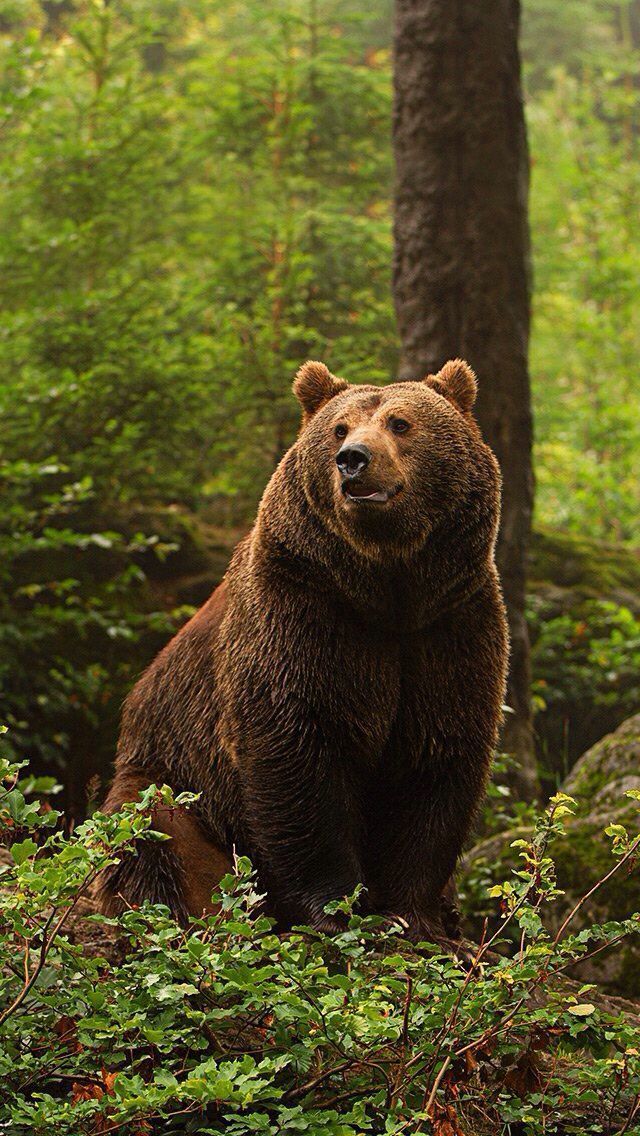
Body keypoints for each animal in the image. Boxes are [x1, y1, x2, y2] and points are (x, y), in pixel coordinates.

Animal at [95, 358, 508, 944]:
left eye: (400, 422)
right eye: (338, 428)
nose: (353, 459)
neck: (388, 588)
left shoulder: (449, 625)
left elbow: (436, 758)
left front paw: (418, 916)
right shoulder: (303, 613)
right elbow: (297, 753)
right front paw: (338, 908)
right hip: (175, 778)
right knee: (154, 834)